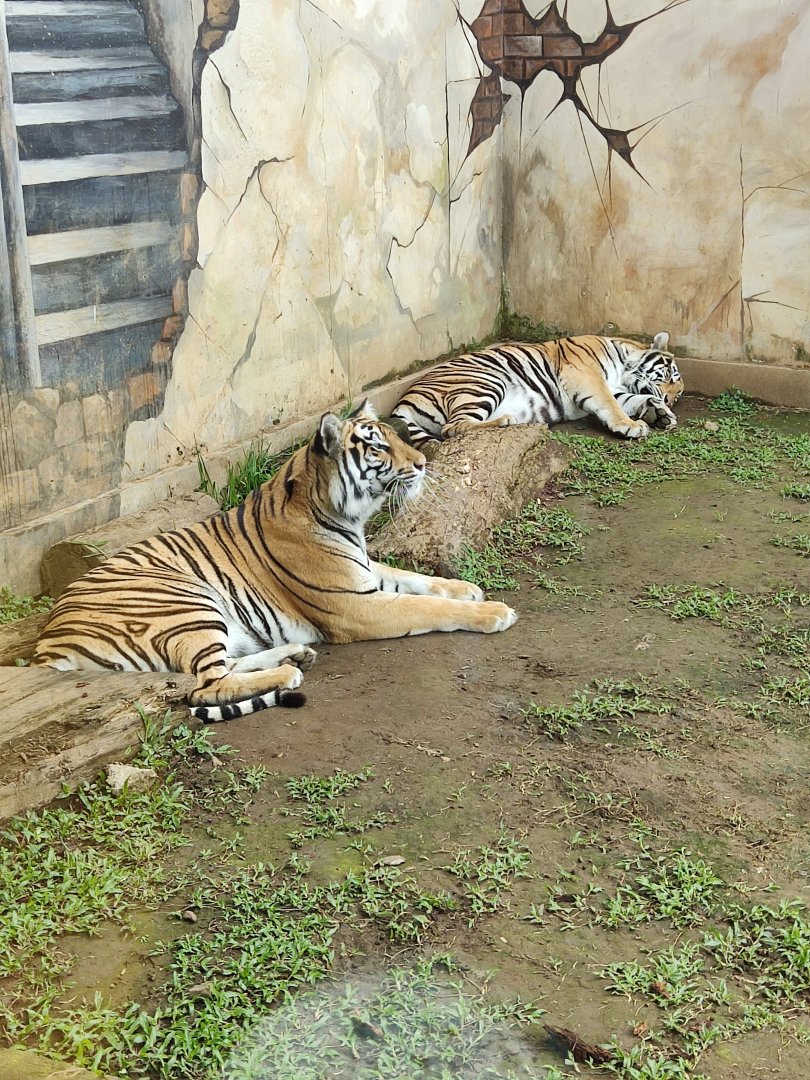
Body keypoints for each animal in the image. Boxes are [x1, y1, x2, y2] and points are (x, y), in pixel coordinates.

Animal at [33, 402, 517, 722]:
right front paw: (494, 612)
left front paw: (468, 589)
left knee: (219, 668)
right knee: (205, 685)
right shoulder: (355, 605)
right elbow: (425, 606)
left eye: (397, 436)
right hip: (185, 601)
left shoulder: (364, 574)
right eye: (378, 448)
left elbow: (415, 579)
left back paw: (295, 654)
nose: (422, 463)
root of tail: (46, 646)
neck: (341, 514)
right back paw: (287, 672)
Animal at [391, 332, 684, 447]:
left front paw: (660, 415)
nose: (669, 399)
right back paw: (505, 421)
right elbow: (611, 404)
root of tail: (403, 401)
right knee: (452, 428)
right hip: (484, 383)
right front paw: (633, 425)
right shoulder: (587, 377)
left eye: (678, 394)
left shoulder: (616, 388)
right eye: (669, 376)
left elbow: (634, 399)